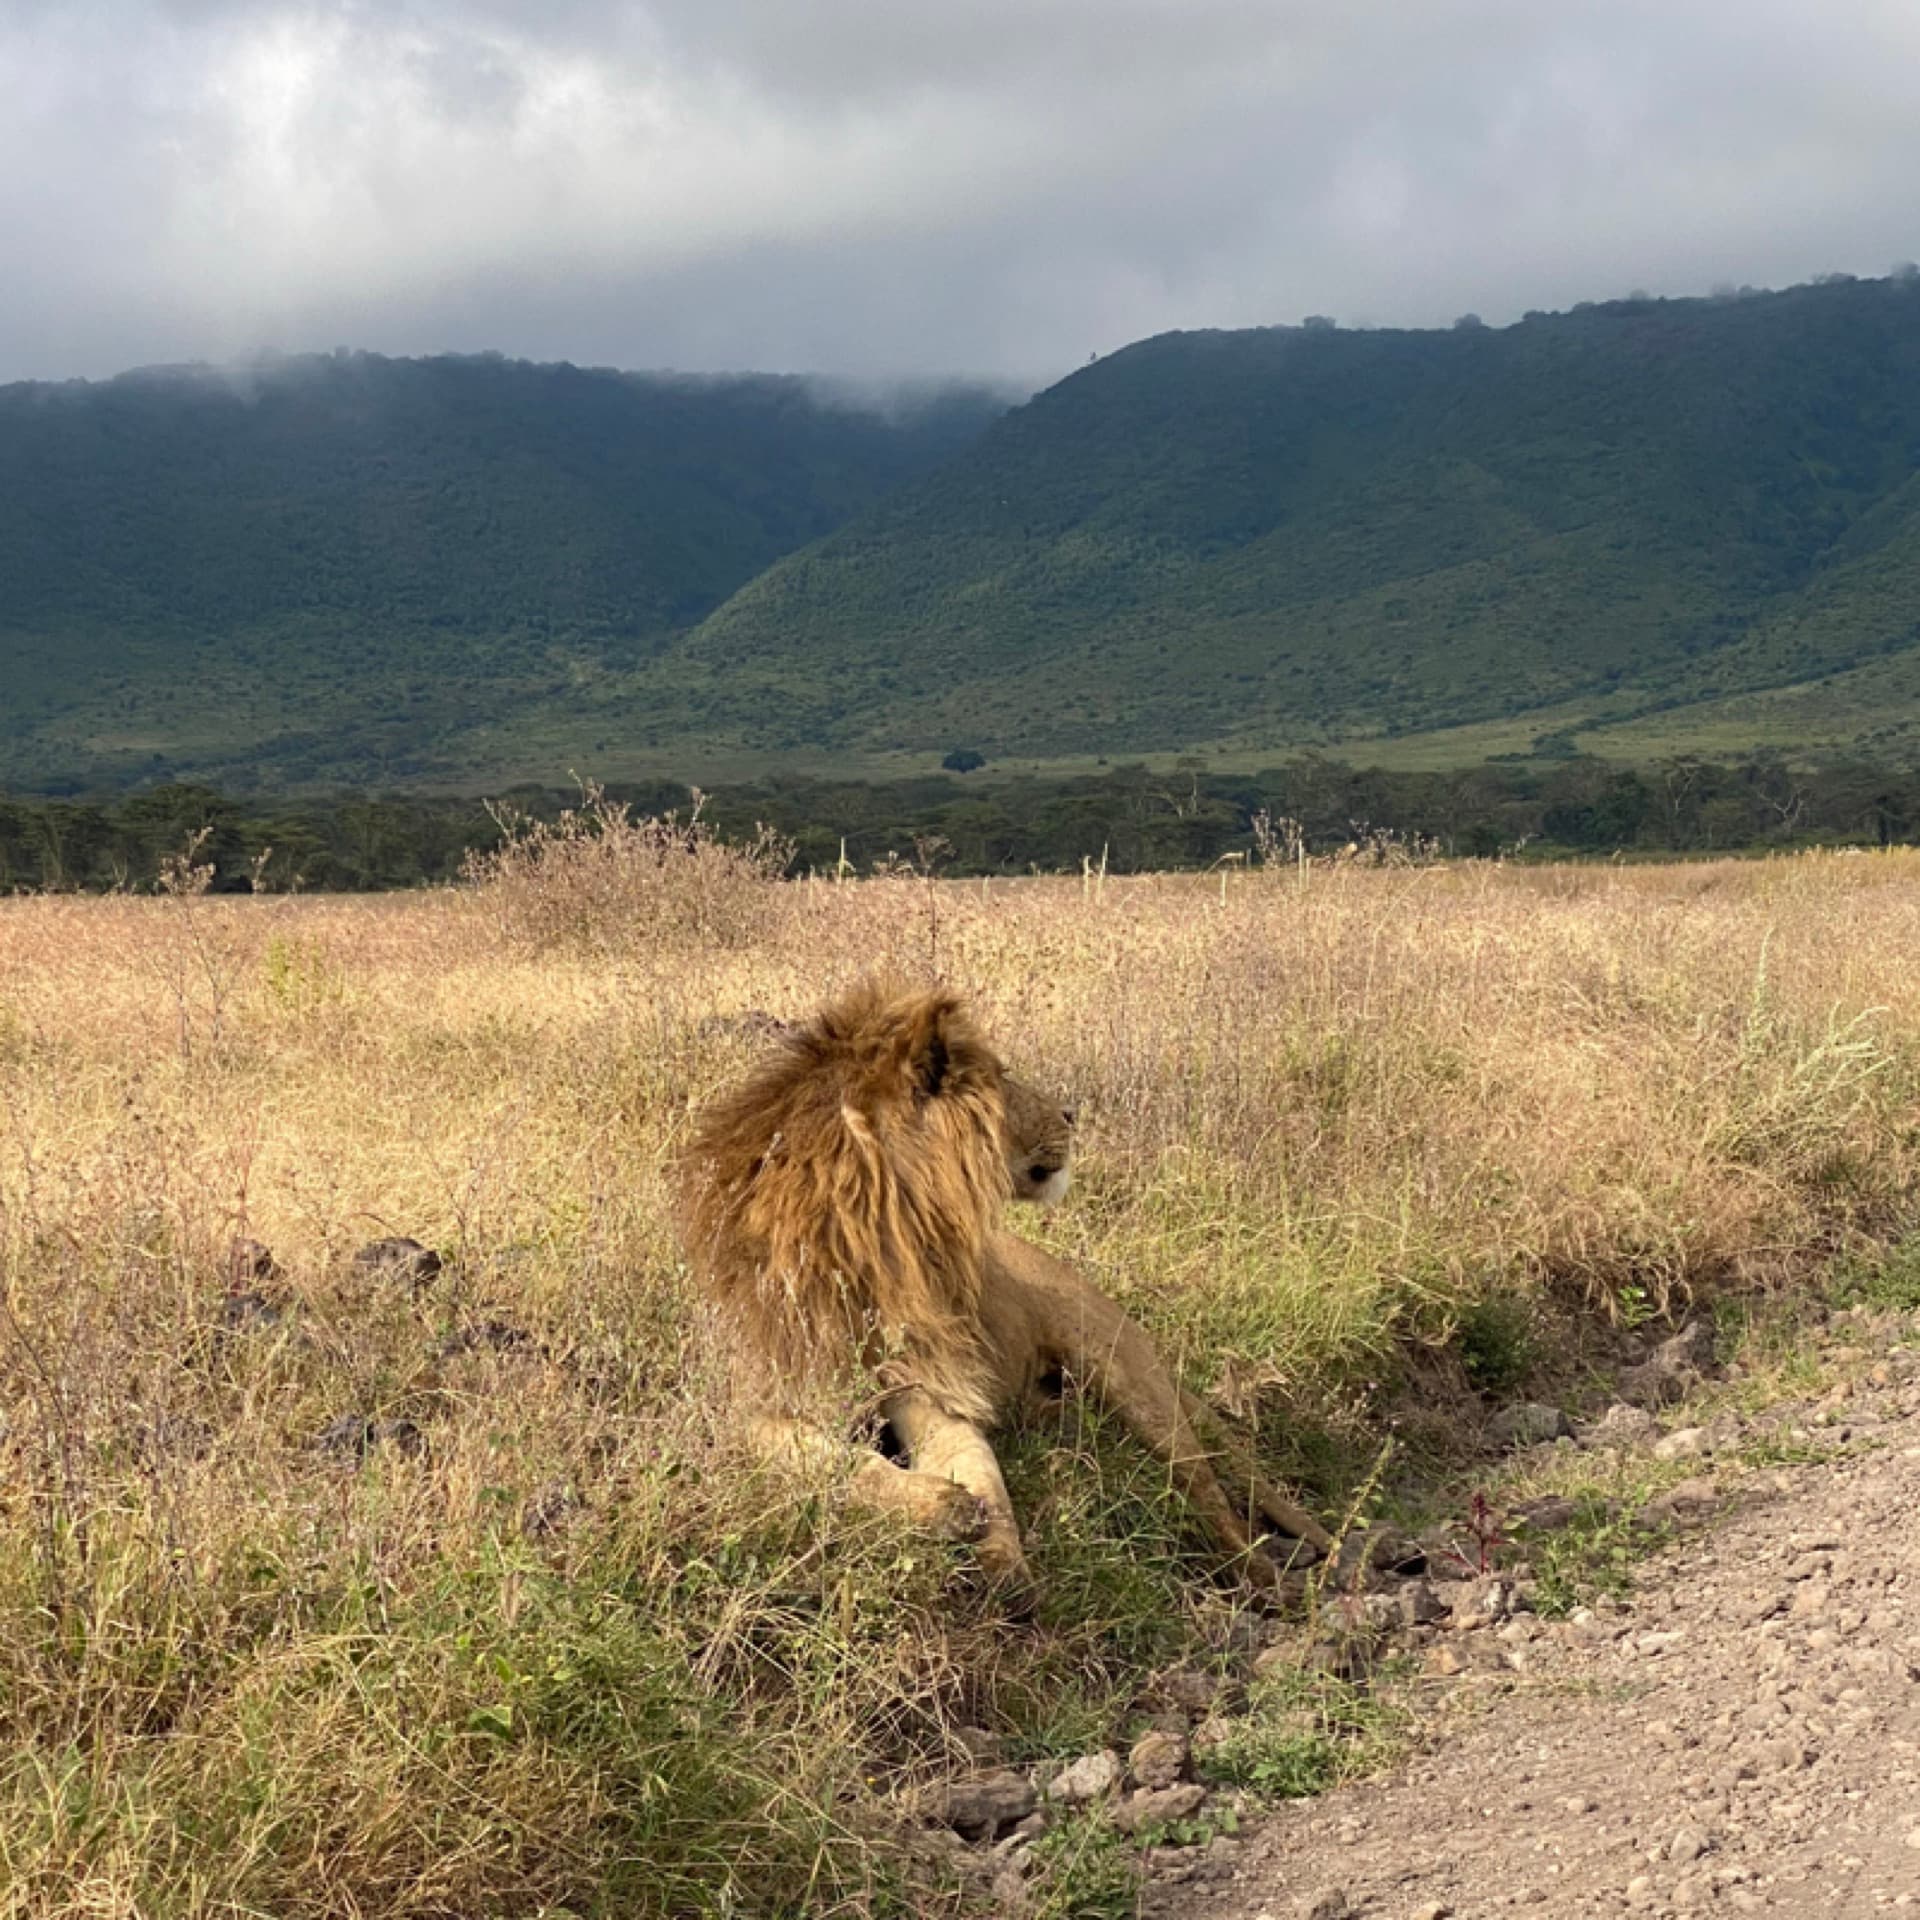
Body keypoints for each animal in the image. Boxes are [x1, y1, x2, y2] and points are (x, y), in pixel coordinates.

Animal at [676, 979, 1331, 1602]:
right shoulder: (749, 1406)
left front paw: (1001, 1562)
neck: (885, 1247)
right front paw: (945, 1508)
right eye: (1002, 1078)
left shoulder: (933, 1391)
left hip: (1127, 1374)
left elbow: (978, 1469)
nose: (1071, 1112)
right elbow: (838, 1463)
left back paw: (1271, 1582)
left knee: (1213, 1498)